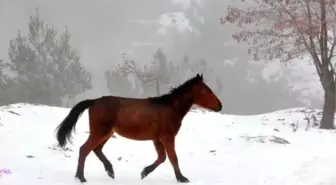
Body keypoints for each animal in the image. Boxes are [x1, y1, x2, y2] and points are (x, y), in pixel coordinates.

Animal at [55, 73, 223, 184]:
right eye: (207, 90)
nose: (220, 106)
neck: (170, 108)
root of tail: (94, 101)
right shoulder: (167, 137)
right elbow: (173, 158)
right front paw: (182, 178)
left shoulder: (157, 139)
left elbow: (162, 158)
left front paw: (144, 172)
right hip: (100, 132)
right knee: (85, 149)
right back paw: (81, 177)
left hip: (107, 133)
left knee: (96, 149)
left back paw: (110, 171)